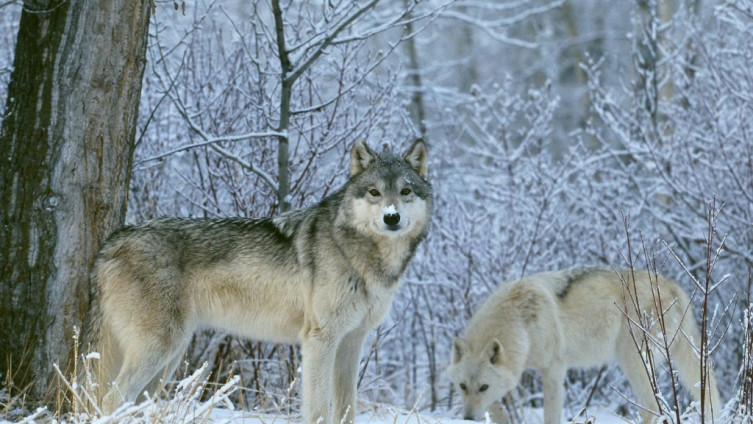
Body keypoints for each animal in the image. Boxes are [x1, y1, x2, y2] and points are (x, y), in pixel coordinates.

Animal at [83, 139, 432, 424]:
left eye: (405, 191)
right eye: (374, 192)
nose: (391, 217)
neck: (361, 254)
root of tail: (112, 242)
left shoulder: (351, 341)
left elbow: (347, 410)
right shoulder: (320, 340)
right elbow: (318, 410)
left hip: (169, 359)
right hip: (159, 350)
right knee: (111, 399)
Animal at [450, 266, 720, 422]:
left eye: (483, 387)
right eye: (462, 386)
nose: (467, 418)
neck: (520, 322)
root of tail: (673, 286)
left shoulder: (553, 369)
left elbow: (551, 415)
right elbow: (498, 409)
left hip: (632, 360)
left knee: (651, 406)